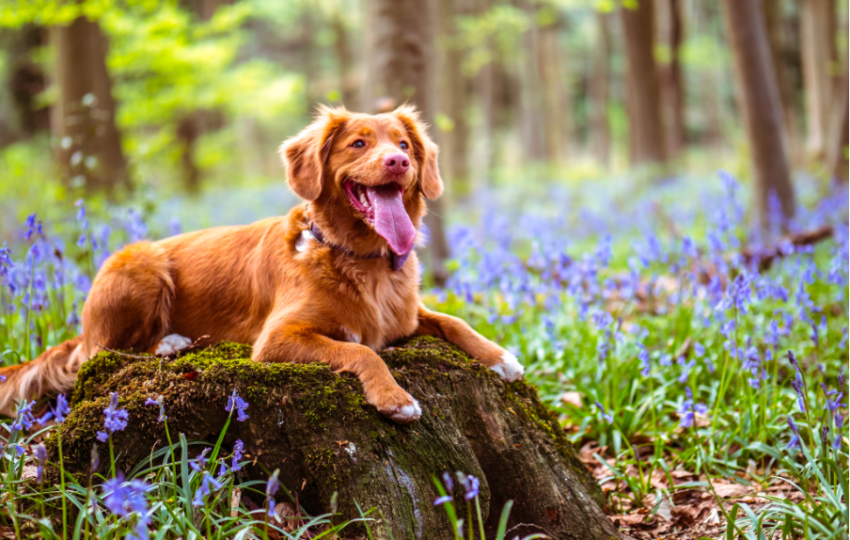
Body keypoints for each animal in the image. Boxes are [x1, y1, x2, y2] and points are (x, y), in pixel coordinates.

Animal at [0, 105, 524, 424]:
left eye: (404, 144)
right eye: (358, 144)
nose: (398, 162)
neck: (361, 260)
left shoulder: (407, 316)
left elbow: (453, 321)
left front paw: (500, 357)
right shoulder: (276, 340)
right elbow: (362, 351)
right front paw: (395, 398)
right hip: (140, 263)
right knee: (103, 353)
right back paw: (169, 342)